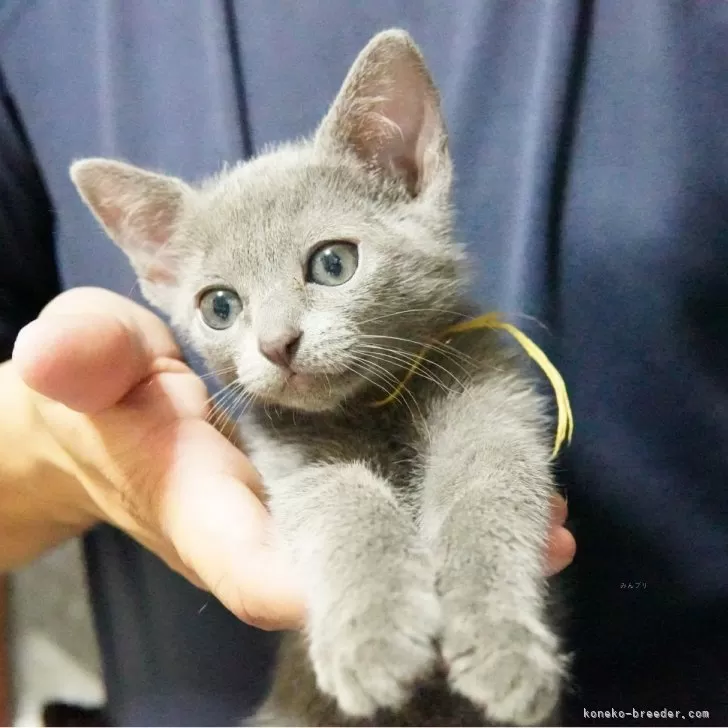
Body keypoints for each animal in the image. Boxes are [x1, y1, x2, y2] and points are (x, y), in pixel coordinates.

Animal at [71, 29, 568, 728]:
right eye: (219, 306)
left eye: (333, 263)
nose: (277, 344)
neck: (371, 407)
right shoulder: (287, 455)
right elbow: (342, 503)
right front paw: (376, 635)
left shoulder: (492, 397)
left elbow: (488, 489)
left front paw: (502, 641)